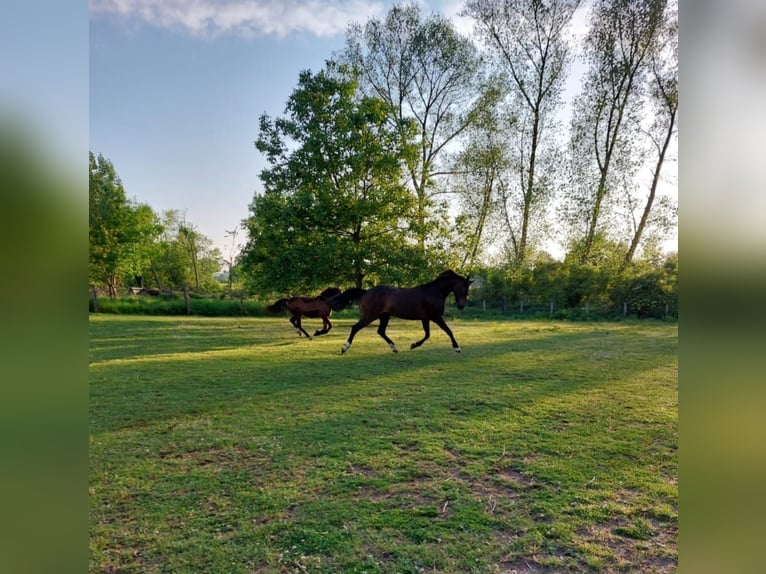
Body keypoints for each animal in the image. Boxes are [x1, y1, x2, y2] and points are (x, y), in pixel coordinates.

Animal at [334, 272, 476, 356]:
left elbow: (427, 335)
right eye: (464, 287)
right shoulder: (435, 317)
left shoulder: (426, 318)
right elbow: (448, 331)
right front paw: (457, 348)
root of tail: (365, 292)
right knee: (355, 328)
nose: (461, 306)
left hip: (384, 316)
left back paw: (394, 348)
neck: (434, 292)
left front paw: (413, 345)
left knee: (381, 331)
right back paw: (344, 348)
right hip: (370, 316)